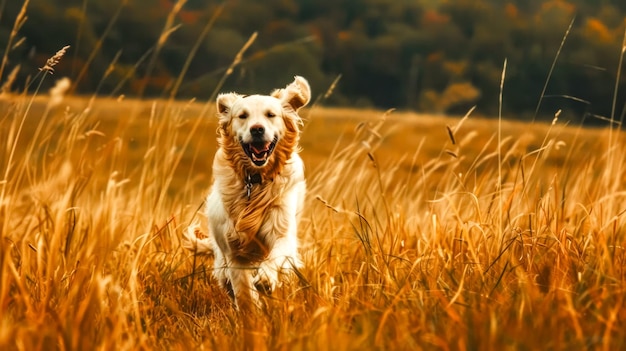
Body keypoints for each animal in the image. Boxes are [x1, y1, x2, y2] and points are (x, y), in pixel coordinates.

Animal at [183, 76, 310, 308]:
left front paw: (266, 279)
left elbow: (275, 255)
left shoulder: (282, 230)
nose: (257, 129)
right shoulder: (234, 251)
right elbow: (243, 292)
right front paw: (251, 312)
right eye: (243, 116)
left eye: (271, 115)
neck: (255, 180)